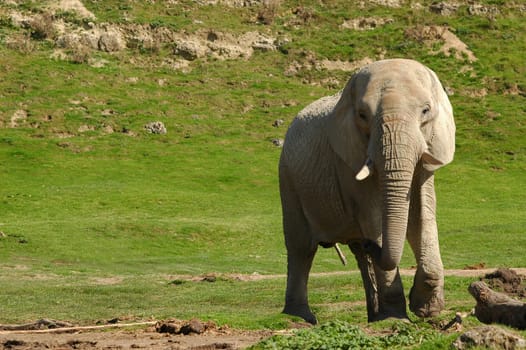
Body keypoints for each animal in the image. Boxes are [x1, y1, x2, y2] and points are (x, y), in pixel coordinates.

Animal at [280, 58, 458, 326]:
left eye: (426, 111)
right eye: (363, 115)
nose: (370, 244)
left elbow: (422, 217)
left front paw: (426, 309)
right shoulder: (350, 160)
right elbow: (374, 218)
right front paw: (396, 317)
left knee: (358, 256)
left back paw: (373, 313)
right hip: (288, 179)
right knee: (301, 248)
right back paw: (300, 317)